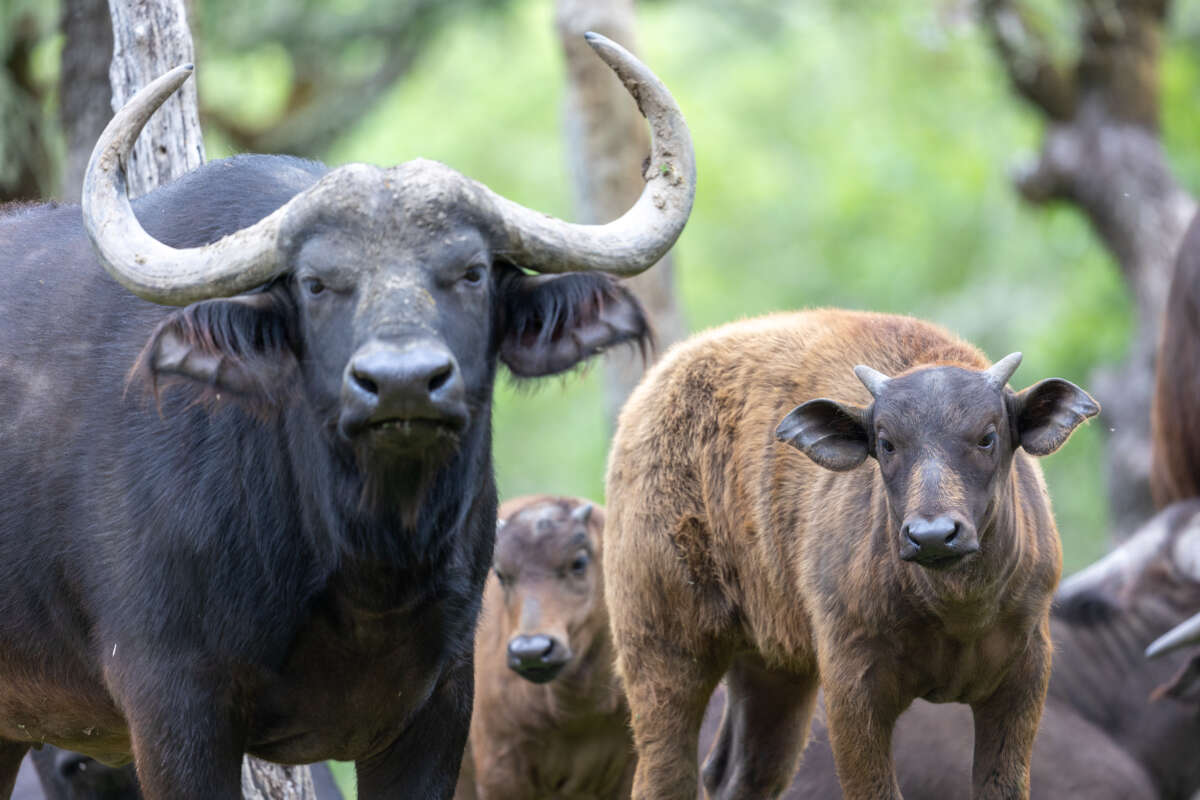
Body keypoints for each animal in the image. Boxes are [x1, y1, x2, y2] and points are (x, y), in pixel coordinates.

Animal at [0, 34, 693, 800]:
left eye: (472, 272)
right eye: (316, 283)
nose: (402, 386)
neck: (364, 568)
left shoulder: (440, 707)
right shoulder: (173, 709)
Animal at [604, 310, 1097, 800]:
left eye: (987, 437)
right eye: (887, 443)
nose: (933, 536)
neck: (955, 609)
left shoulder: (1023, 679)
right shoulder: (852, 688)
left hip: (773, 667)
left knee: (742, 775)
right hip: (662, 650)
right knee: (666, 775)